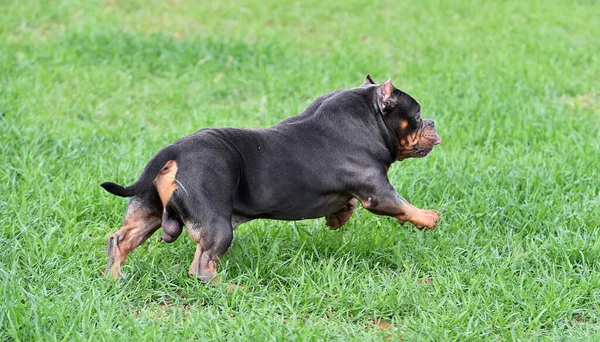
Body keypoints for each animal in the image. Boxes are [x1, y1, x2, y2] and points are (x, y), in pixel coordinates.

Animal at [101, 76, 440, 282]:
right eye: (417, 115)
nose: (433, 122)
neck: (368, 114)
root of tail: (171, 153)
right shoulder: (379, 192)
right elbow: (403, 206)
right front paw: (428, 217)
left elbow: (346, 205)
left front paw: (338, 218)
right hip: (216, 226)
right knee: (202, 268)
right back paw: (231, 288)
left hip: (147, 212)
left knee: (120, 240)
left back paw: (114, 278)